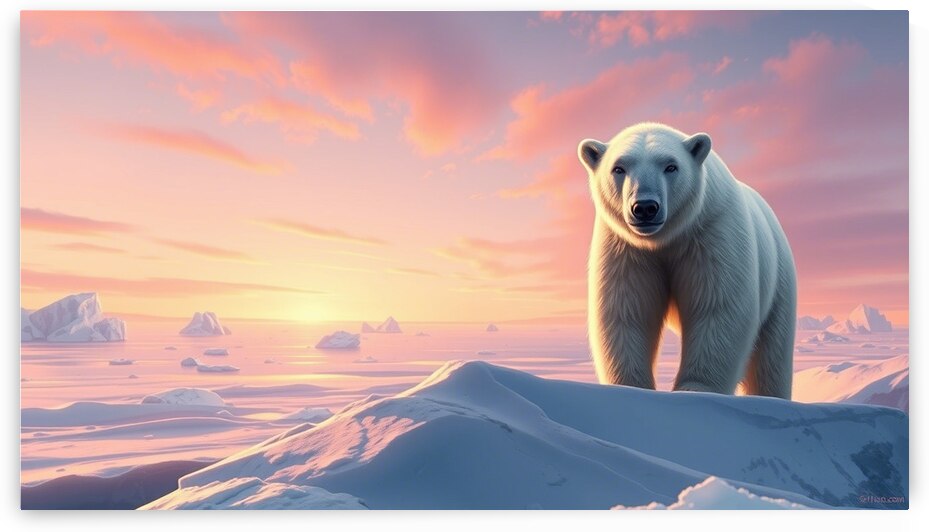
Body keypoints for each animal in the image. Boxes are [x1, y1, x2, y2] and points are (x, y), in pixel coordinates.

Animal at [577, 122, 796, 399]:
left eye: (671, 166)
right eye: (619, 168)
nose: (645, 207)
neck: (665, 238)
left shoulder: (712, 234)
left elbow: (716, 306)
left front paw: (695, 389)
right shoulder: (625, 248)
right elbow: (627, 310)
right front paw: (631, 387)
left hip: (779, 279)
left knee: (771, 354)